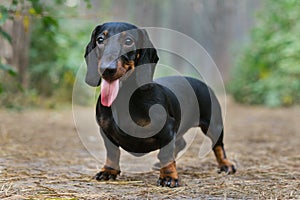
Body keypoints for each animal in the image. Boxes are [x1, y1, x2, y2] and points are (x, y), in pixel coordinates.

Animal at [83, 22, 236, 188]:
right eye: (100, 39)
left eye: (129, 41)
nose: (106, 69)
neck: (124, 98)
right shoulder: (105, 131)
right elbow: (112, 152)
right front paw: (108, 171)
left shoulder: (167, 129)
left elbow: (166, 154)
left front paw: (168, 177)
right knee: (181, 143)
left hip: (213, 125)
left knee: (218, 146)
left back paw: (226, 165)